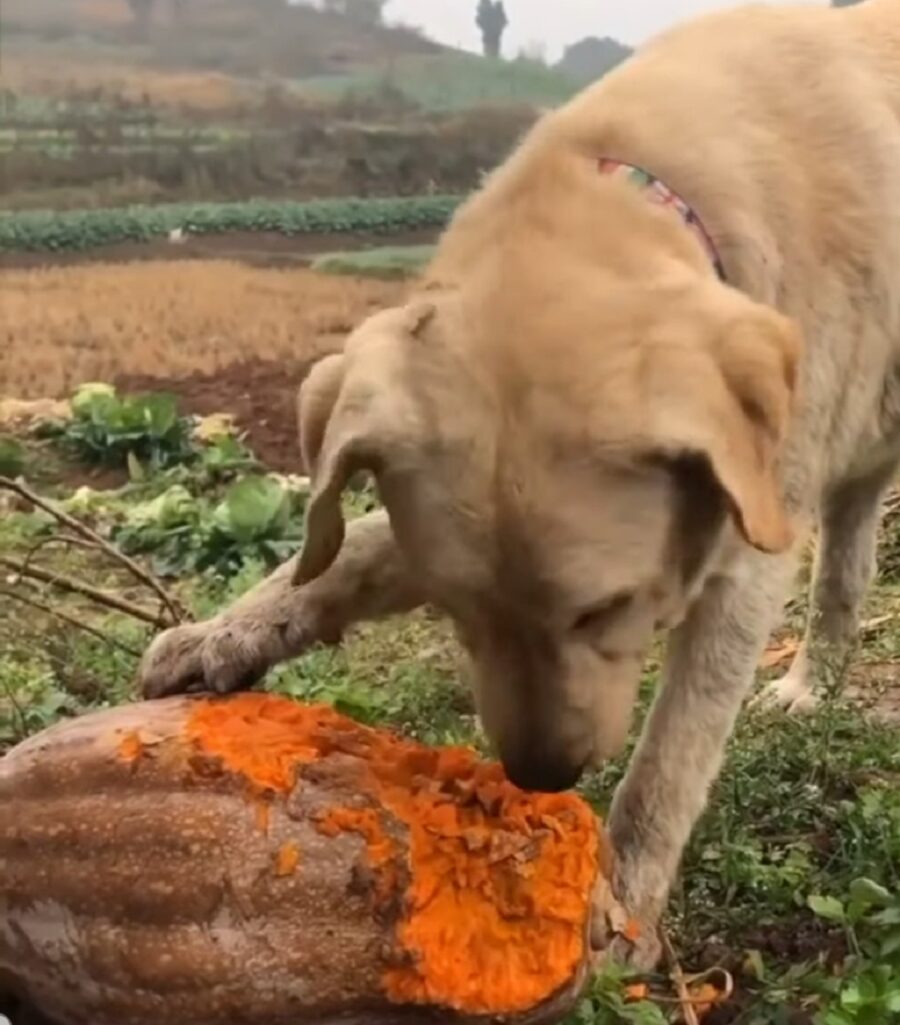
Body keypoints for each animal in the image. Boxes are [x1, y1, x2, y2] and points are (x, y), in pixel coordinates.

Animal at [139, 0, 900, 963]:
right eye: (457, 615)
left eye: (610, 610)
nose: (543, 774)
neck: (643, 188)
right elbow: (347, 556)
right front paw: (225, 631)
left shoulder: (744, 549)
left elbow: (668, 759)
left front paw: (622, 906)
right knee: (848, 558)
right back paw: (813, 682)